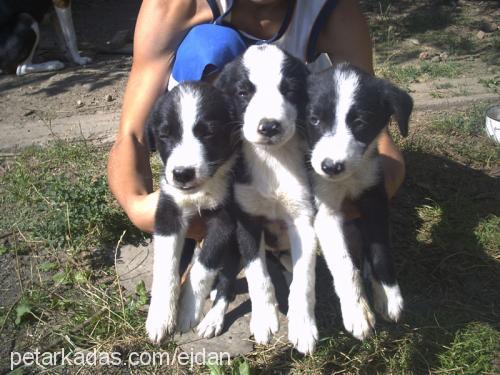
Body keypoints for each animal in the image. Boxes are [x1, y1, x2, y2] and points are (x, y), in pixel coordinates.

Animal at [145, 81, 240, 344]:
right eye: (165, 135)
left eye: (208, 133)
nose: (182, 174)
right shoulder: (168, 212)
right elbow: (166, 264)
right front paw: (160, 317)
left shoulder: (225, 221)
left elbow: (202, 268)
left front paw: (188, 310)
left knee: (227, 278)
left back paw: (213, 319)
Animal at [211, 44, 320, 356]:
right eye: (243, 92)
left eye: (290, 90)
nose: (269, 127)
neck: (273, 161)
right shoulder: (247, 222)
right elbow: (257, 276)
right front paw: (263, 320)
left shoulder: (303, 220)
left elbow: (304, 278)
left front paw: (303, 326)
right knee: (225, 282)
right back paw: (212, 318)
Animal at [306, 63, 412, 340]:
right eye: (314, 120)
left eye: (361, 123)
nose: (331, 167)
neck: (350, 177)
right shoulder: (325, 212)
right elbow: (344, 265)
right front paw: (357, 311)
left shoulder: (375, 197)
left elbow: (380, 249)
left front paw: (388, 294)